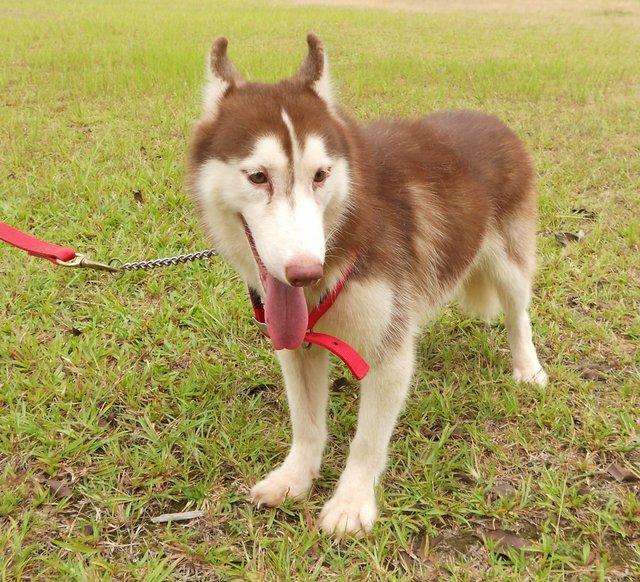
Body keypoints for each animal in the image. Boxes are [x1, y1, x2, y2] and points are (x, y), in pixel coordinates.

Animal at [188, 34, 548, 536]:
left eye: (321, 175)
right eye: (258, 177)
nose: (305, 272)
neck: (340, 242)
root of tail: (493, 120)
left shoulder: (387, 354)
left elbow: (367, 441)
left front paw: (352, 501)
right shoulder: (299, 343)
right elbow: (307, 424)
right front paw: (295, 478)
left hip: (508, 262)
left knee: (518, 313)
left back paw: (528, 367)